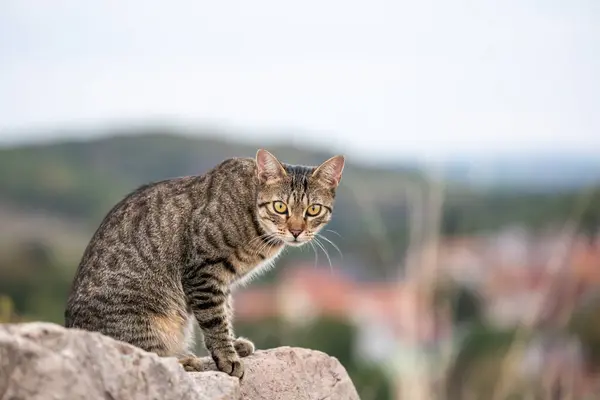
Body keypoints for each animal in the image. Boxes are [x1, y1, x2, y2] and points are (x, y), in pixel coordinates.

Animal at [63, 150, 344, 378]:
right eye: (280, 206)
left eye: (313, 210)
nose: (296, 231)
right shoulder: (203, 272)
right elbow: (215, 320)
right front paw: (227, 357)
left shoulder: (222, 280)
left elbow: (225, 312)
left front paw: (233, 345)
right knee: (142, 353)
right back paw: (184, 360)